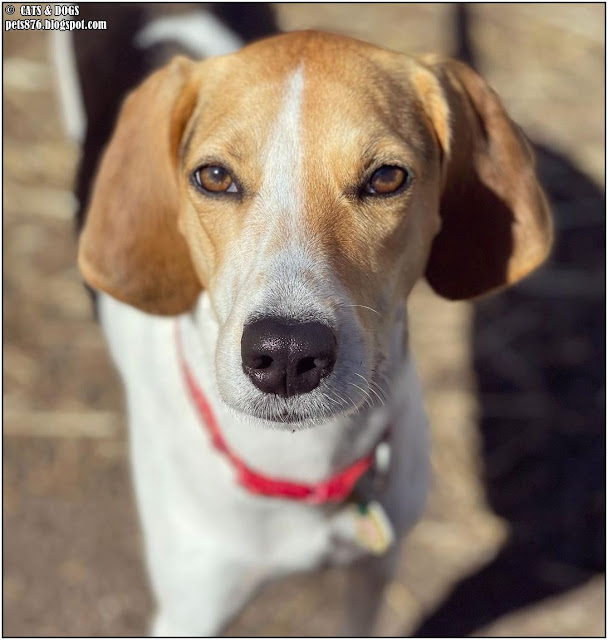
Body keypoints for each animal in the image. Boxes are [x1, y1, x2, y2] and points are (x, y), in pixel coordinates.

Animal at [70, 17, 552, 636]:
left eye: (387, 178)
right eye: (215, 177)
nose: (286, 353)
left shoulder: (374, 569)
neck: (305, 465)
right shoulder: (192, 609)